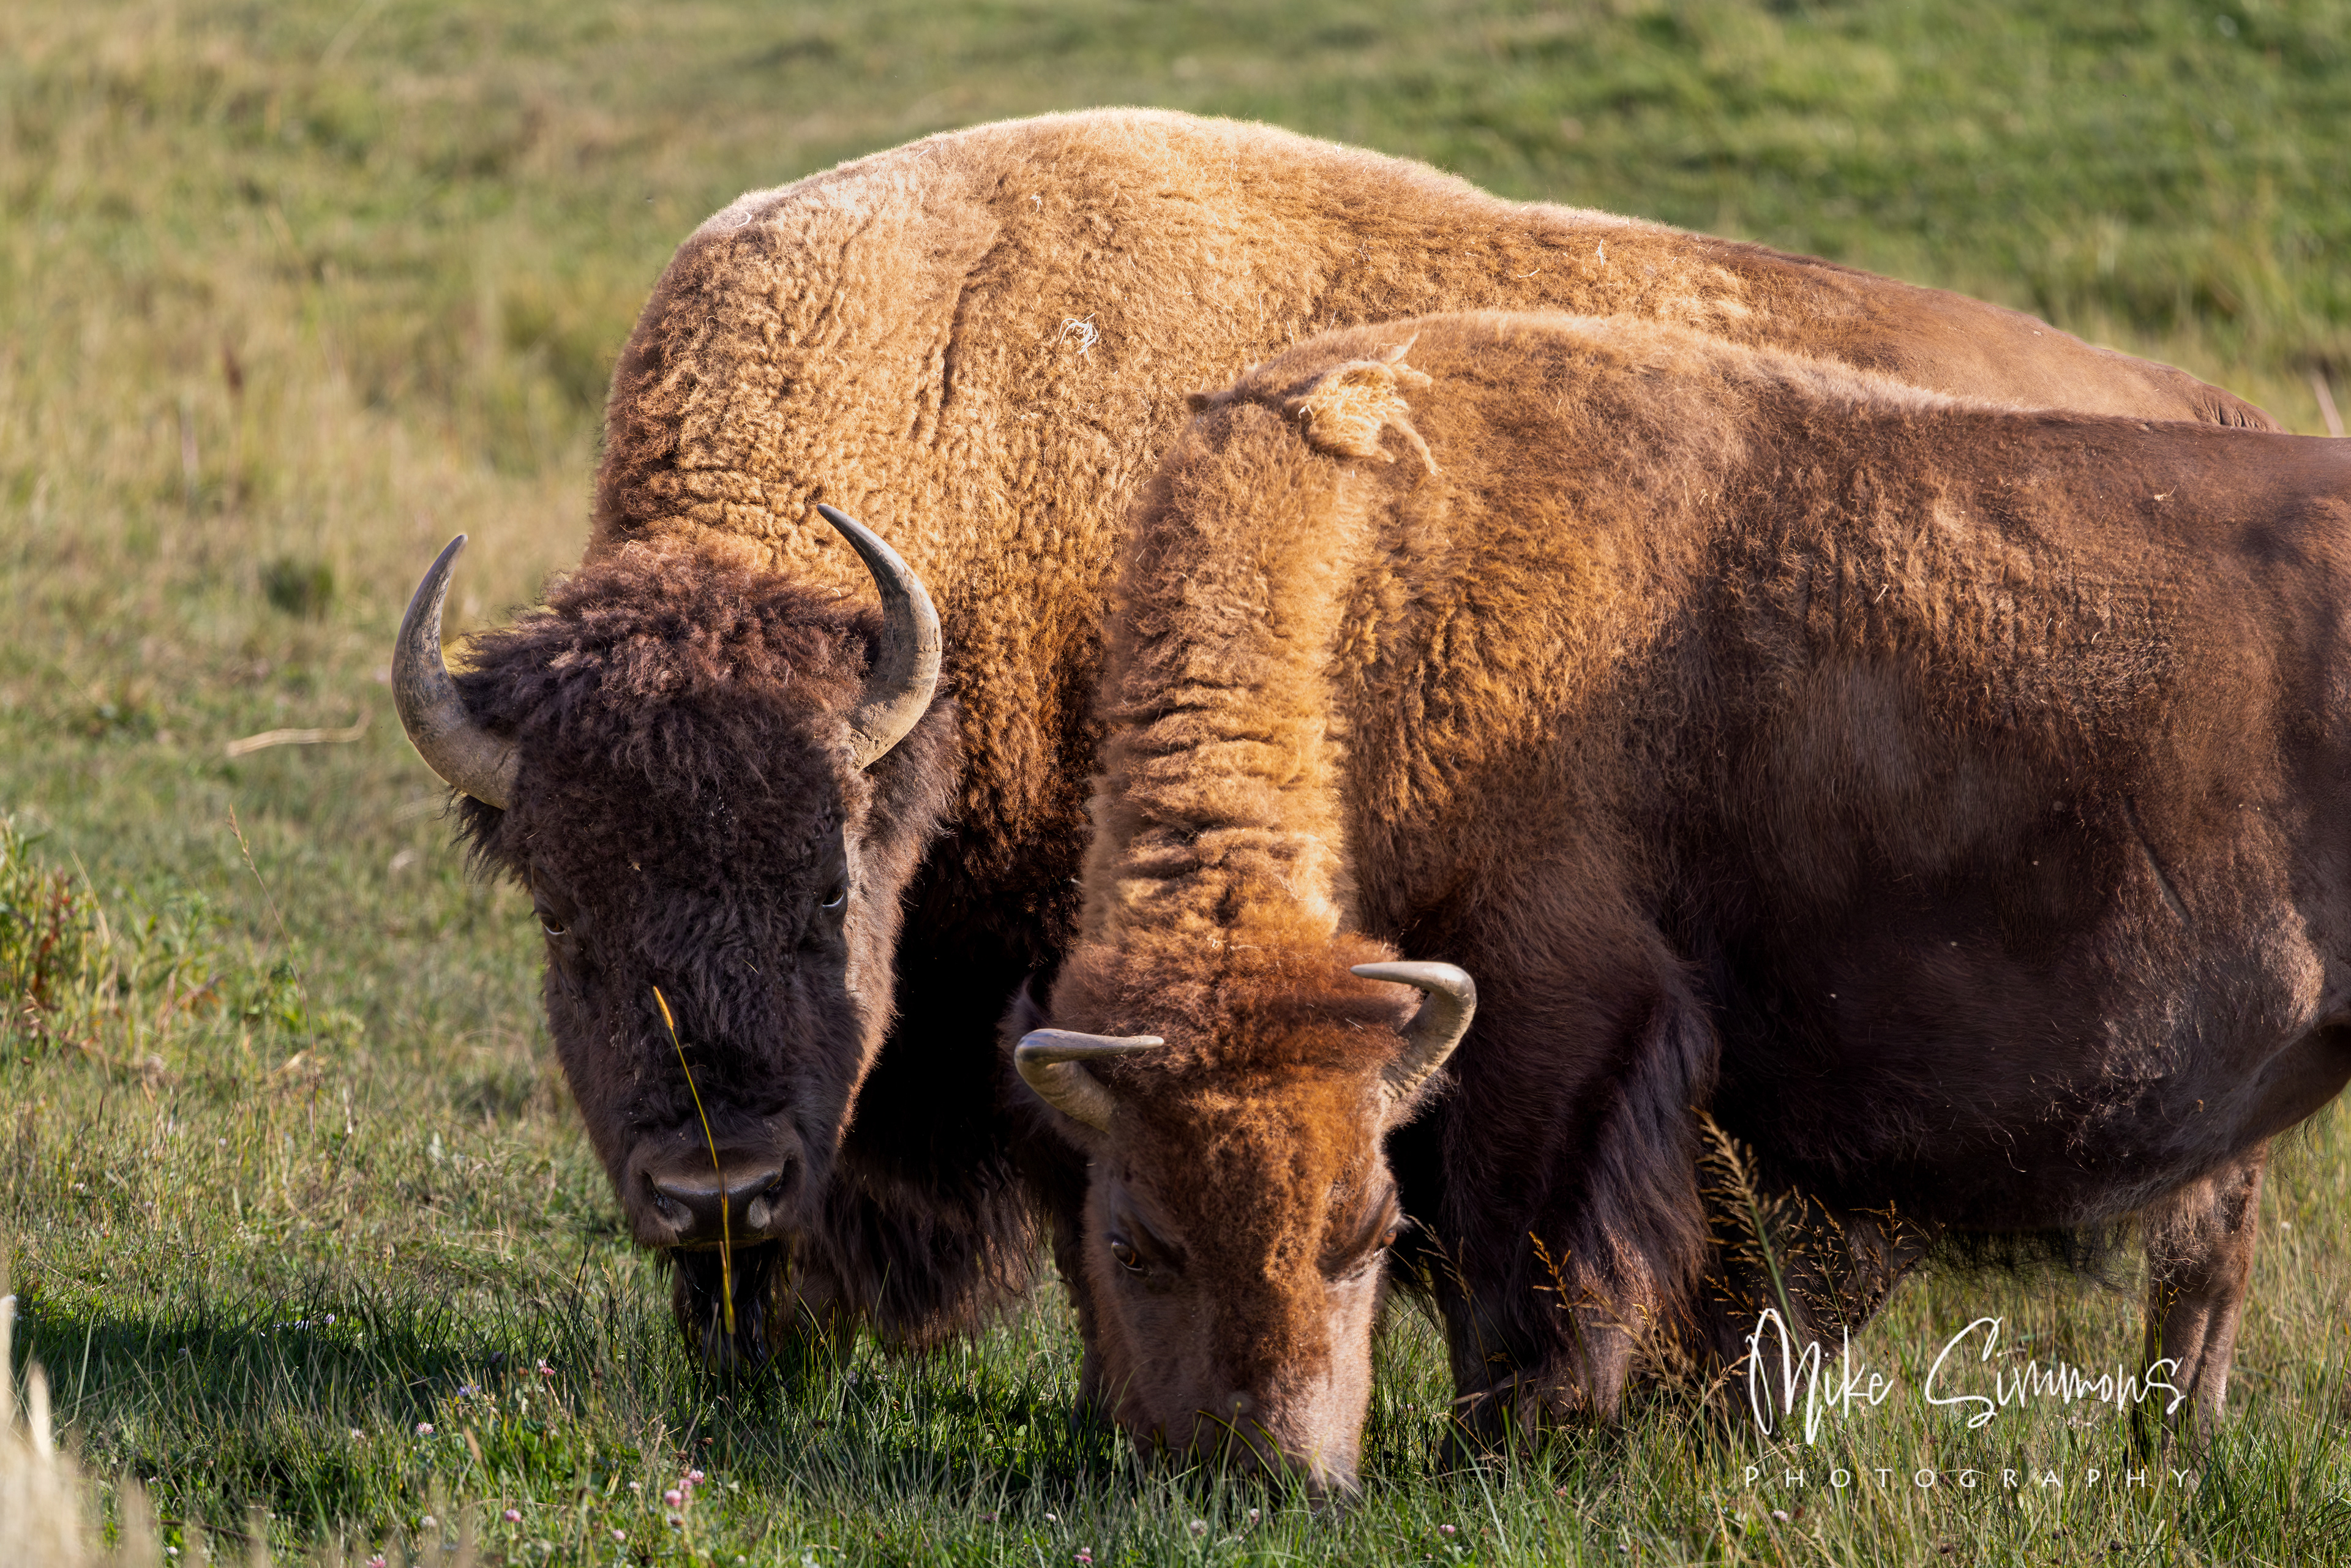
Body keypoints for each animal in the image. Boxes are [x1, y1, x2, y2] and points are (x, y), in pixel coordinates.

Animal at [1014, 311, 2350, 1492]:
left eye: (1369, 1235)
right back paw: (2165, 1462)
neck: (1387, 570)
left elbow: (1520, 1259)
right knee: (2208, 1270)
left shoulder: (1557, 1009)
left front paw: (1498, 1450)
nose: (1268, 1473)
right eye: (1134, 1240)